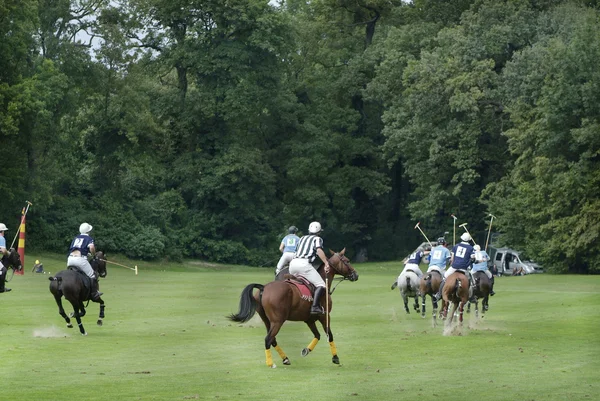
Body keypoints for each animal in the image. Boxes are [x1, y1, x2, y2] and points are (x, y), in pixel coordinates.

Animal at [227, 248, 358, 368]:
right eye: (347, 261)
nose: (355, 275)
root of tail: (263, 287)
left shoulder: (309, 320)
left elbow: (317, 335)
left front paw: (306, 350)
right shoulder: (324, 316)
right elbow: (329, 335)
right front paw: (335, 358)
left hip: (267, 320)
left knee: (273, 339)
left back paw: (285, 359)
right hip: (278, 321)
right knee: (268, 339)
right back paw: (271, 363)